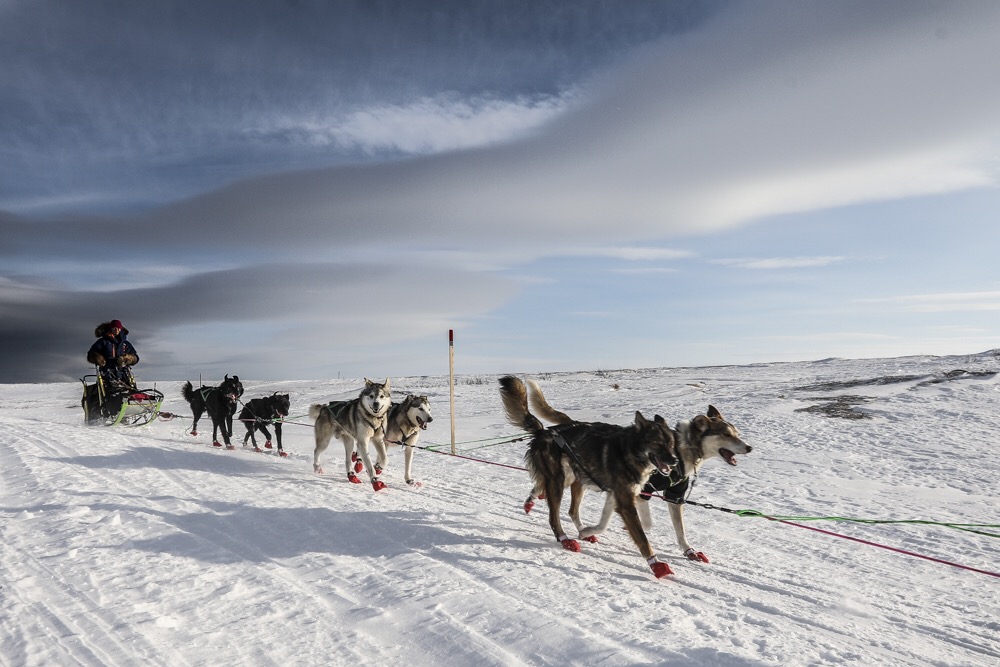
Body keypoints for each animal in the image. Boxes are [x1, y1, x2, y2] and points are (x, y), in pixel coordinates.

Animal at [500, 376, 680, 580]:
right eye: (657, 443)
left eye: (671, 443)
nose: (675, 460)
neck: (628, 451)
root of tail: (544, 432)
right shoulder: (625, 504)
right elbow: (642, 538)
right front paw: (656, 565)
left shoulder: (615, 496)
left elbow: (604, 524)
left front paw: (588, 531)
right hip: (558, 482)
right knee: (554, 518)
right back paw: (565, 540)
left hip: (576, 480)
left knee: (569, 508)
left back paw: (540, 505)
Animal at [524, 378, 752, 568]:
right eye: (726, 434)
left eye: (737, 433)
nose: (749, 447)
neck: (683, 449)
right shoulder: (638, 494)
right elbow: (646, 525)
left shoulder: (670, 496)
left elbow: (678, 531)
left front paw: (689, 551)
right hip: (564, 478)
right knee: (554, 502)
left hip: (576, 476)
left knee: (555, 496)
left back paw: (533, 499)